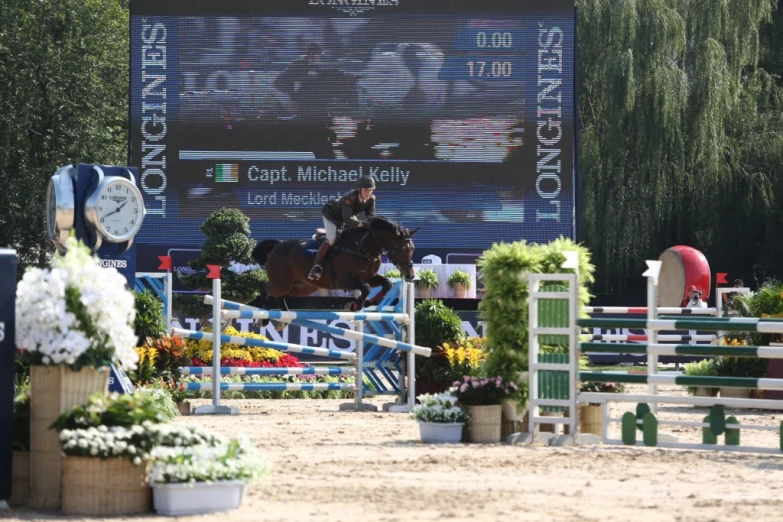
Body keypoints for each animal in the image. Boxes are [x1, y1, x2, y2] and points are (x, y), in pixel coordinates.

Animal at [251, 214, 422, 320]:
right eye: (399, 249)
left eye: (412, 249)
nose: (410, 275)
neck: (362, 248)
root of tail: (277, 246)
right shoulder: (345, 280)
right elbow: (365, 288)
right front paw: (357, 304)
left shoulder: (369, 277)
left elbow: (387, 284)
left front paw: (365, 303)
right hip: (281, 283)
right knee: (264, 286)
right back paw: (265, 314)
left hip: (302, 287)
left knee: (281, 296)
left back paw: (285, 316)